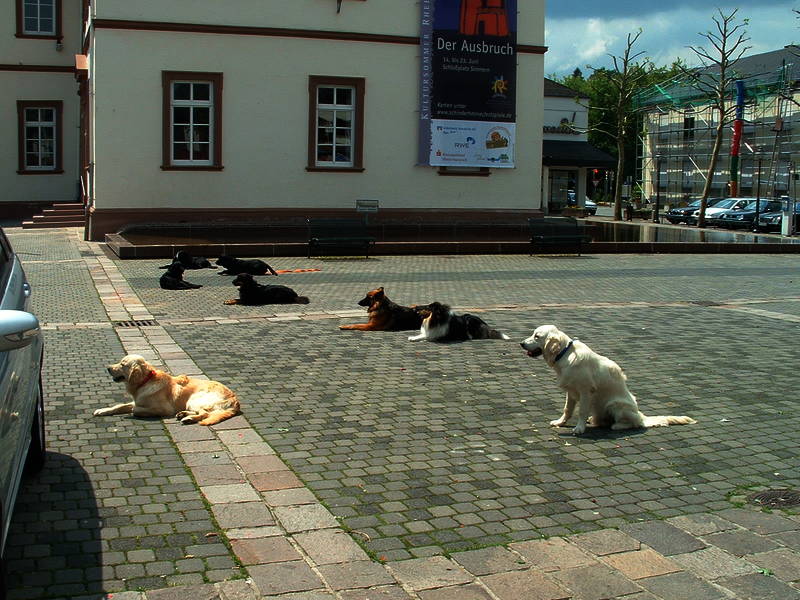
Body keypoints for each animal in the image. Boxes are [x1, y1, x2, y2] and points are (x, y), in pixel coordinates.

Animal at [94, 354, 240, 426]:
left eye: (122, 364)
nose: (108, 368)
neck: (146, 380)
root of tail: (235, 400)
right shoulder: (137, 400)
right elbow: (119, 406)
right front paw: (102, 410)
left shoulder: (163, 409)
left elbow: (135, 410)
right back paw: (184, 415)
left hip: (195, 399)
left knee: (205, 414)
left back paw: (188, 419)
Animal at [520, 325, 696, 435]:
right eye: (533, 334)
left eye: (537, 336)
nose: (521, 343)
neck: (564, 354)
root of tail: (641, 415)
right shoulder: (571, 391)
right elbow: (567, 409)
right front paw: (560, 422)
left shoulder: (586, 391)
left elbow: (581, 411)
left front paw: (579, 428)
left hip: (616, 404)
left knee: (634, 423)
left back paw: (617, 425)